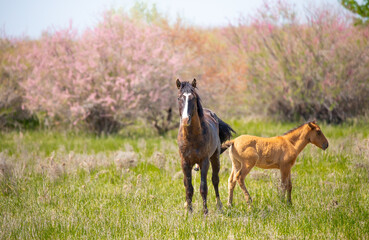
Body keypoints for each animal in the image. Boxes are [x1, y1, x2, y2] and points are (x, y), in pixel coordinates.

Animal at [175, 78, 233, 214]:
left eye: (193, 98)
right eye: (179, 98)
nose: (185, 120)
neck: (192, 138)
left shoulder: (204, 161)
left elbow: (203, 187)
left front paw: (205, 212)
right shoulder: (184, 162)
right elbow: (188, 187)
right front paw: (189, 211)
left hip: (215, 158)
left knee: (215, 180)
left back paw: (219, 205)